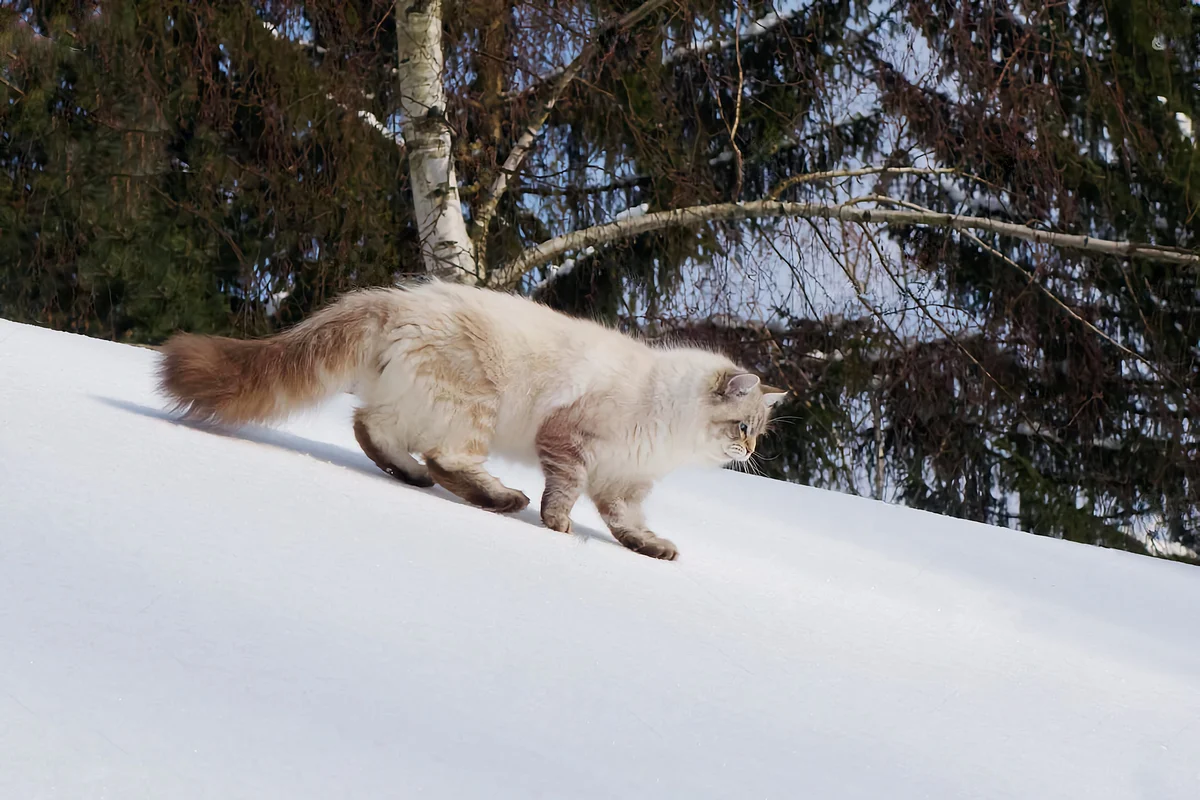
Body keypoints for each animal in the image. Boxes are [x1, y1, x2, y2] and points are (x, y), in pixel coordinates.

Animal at [159, 281, 787, 563]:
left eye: (757, 432)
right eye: (742, 428)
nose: (749, 453)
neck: (670, 430)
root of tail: (397, 299)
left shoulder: (623, 483)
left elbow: (627, 525)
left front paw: (651, 548)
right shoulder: (569, 442)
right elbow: (564, 495)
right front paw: (557, 527)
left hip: (416, 403)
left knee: (371, 428)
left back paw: (413, 477)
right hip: (476, 406)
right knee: (444, 458)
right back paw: (500, 498)